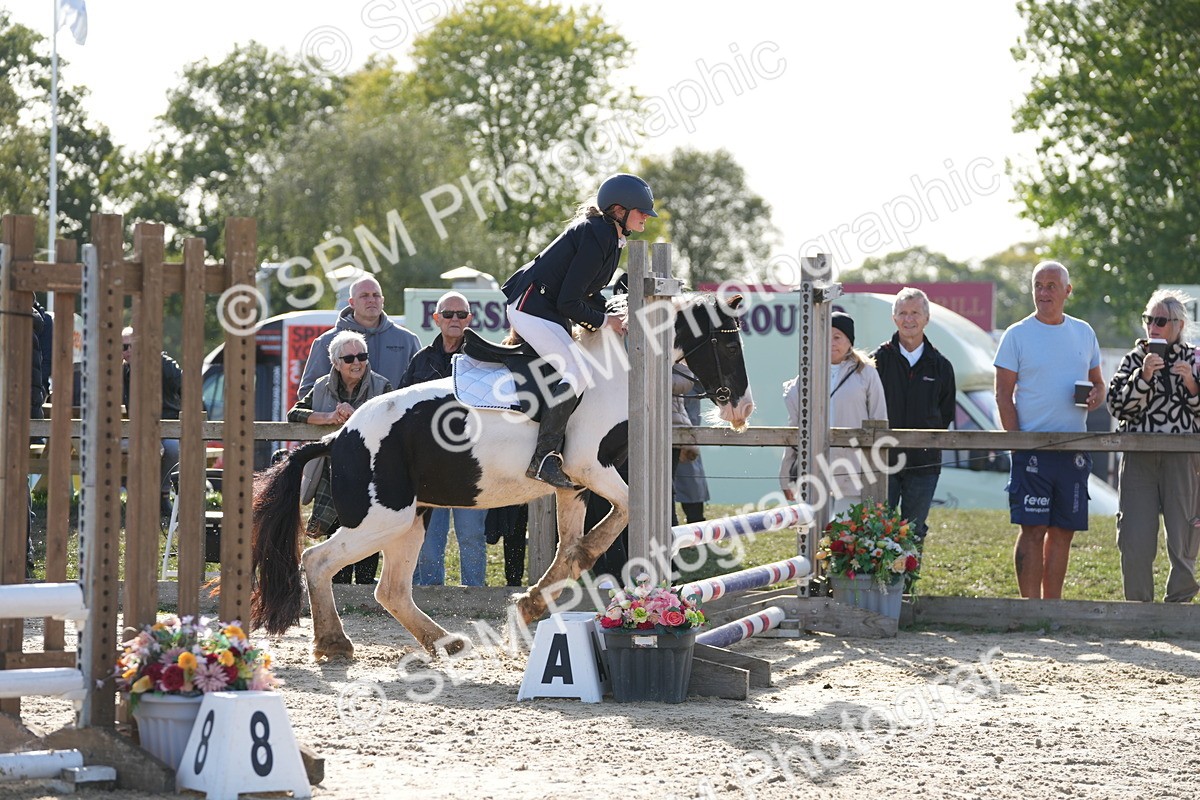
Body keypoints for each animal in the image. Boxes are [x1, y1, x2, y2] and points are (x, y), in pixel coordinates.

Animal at [250, 293, 754, 658]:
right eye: (729, 343)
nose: (742, 409)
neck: (616, 374)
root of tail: (339, 436)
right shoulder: (590, 467)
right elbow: (616, 519)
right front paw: (537, 599)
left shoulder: (573, 484)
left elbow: (571, 551)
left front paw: (530, 606)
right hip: (381, 519)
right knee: (318, 561)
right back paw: (334, 643)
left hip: (412, 519)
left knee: (390, 589)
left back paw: (444, 642)